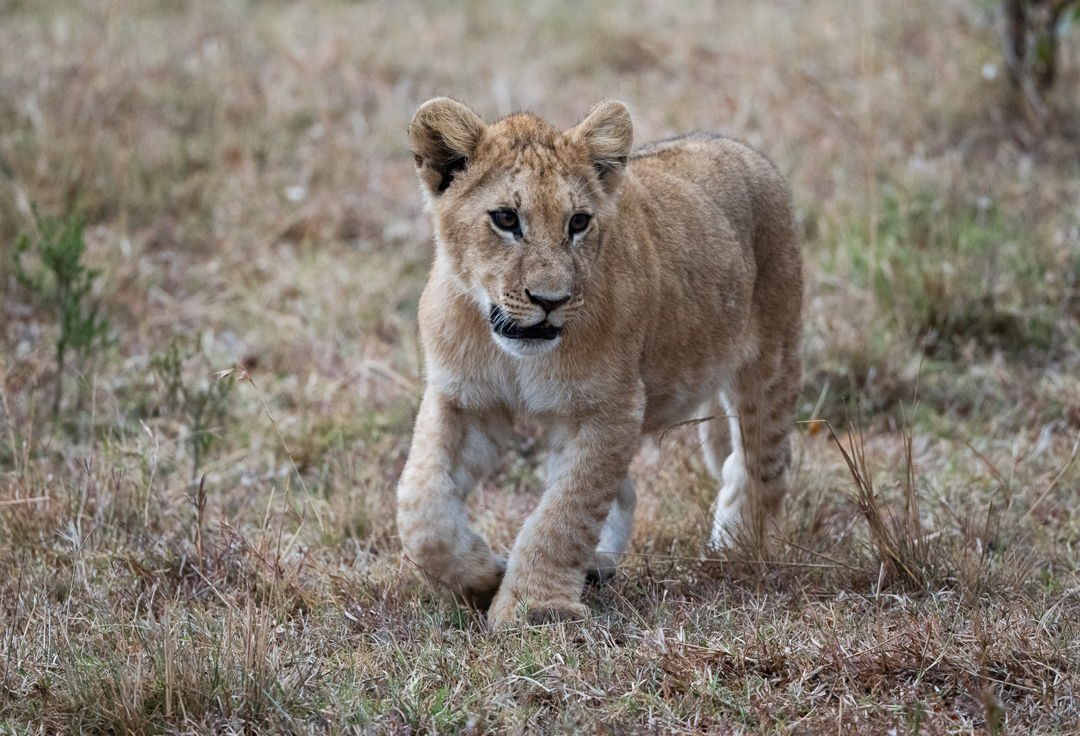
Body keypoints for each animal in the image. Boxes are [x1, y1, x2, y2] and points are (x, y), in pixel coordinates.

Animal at [396, 98, 803, 628]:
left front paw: (534, 608)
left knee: (762, 465)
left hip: (771, 361)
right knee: (630, 491)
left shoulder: (609, 408)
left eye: (578, 222)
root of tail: (739, 149)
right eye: (505, 219)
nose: (550, 301)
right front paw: (481, 575)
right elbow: (422, 506)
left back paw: (740, 551)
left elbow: (564, 514)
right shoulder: (464, 401)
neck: (510, 352)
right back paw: (599, 567)